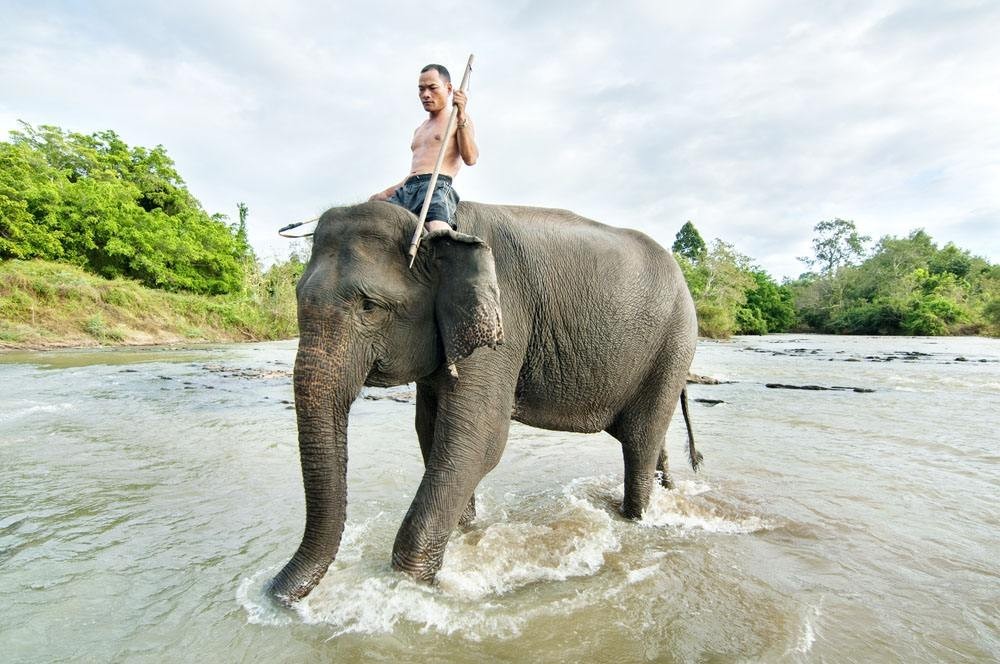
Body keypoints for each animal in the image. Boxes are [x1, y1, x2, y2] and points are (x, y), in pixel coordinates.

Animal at [270, 200, 700, 604]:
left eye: (369, 307)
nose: (273, 592)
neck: (434, 230)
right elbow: (432, 433)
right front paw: (466, 533)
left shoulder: (503, 319)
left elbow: (479, 440)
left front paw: (412, 585)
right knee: (649, 439)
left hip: (674, 344)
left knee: (640, 441)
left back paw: (638, 519)